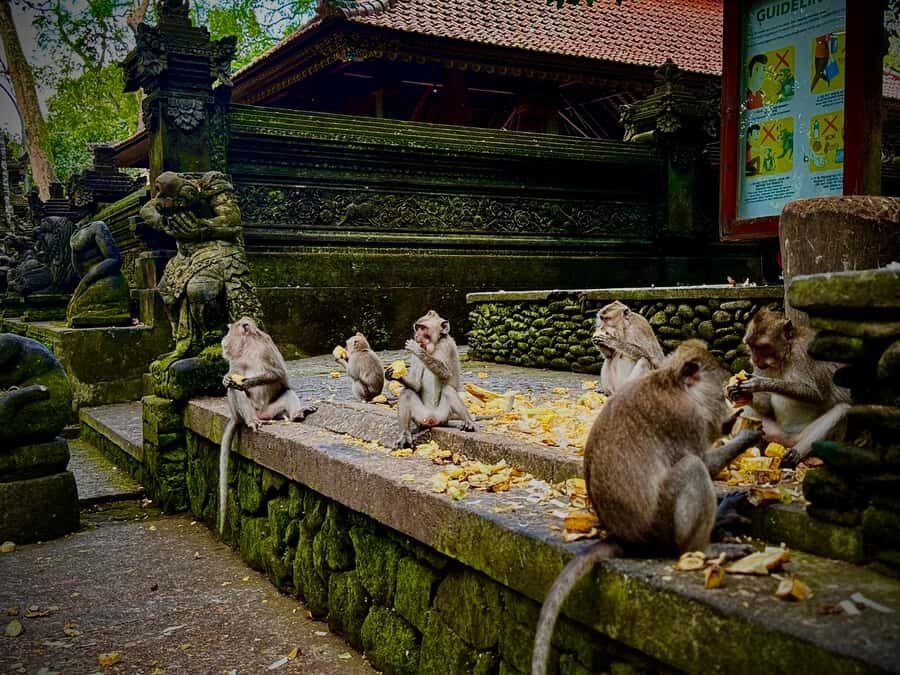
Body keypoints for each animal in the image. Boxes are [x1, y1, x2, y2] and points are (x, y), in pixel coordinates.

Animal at [218, 317, 315, 533]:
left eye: (229, 331)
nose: (223, 343)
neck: (248, 348)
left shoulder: (267, 349)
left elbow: (279, 375)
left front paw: (249, 382)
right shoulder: (237, 362)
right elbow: (232, 379)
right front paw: (227, 379)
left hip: (272, 410)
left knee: (286, 391)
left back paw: (297, 414)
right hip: (245, 412)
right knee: (236, 392)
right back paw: (252, 421)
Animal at [386, 310, 476, 448]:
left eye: (423, 328)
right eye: (417, 327)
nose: (417, 335)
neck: (434, 345)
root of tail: (432, 419)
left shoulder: (446, 345)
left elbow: (446, 373)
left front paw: (416, 348)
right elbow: (416, 384)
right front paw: (394, 375)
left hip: (444, 415)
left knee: (448, 390)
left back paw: (468, 422)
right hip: (420, 416)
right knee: (407, 392)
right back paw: (405, 435)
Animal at [531, 340, 762, 675]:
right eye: (720, 396)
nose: (727, 416)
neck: (672, 383)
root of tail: (628, 538)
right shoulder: (687, 420)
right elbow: (704, 462)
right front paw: (749, 434)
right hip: (662, 525)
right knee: (692, 468)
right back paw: (703, 547)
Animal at [726, 308, 851, 467]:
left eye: (763, 347)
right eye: (752, 346)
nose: (754, 359)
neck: (785, 355)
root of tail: (787, 441)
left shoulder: (803, 354)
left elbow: (815, 394)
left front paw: (759, 383)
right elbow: (765, 405)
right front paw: (741, 394)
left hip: (802, 437)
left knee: (843, 410)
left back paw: (797, 453)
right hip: (775, 434)